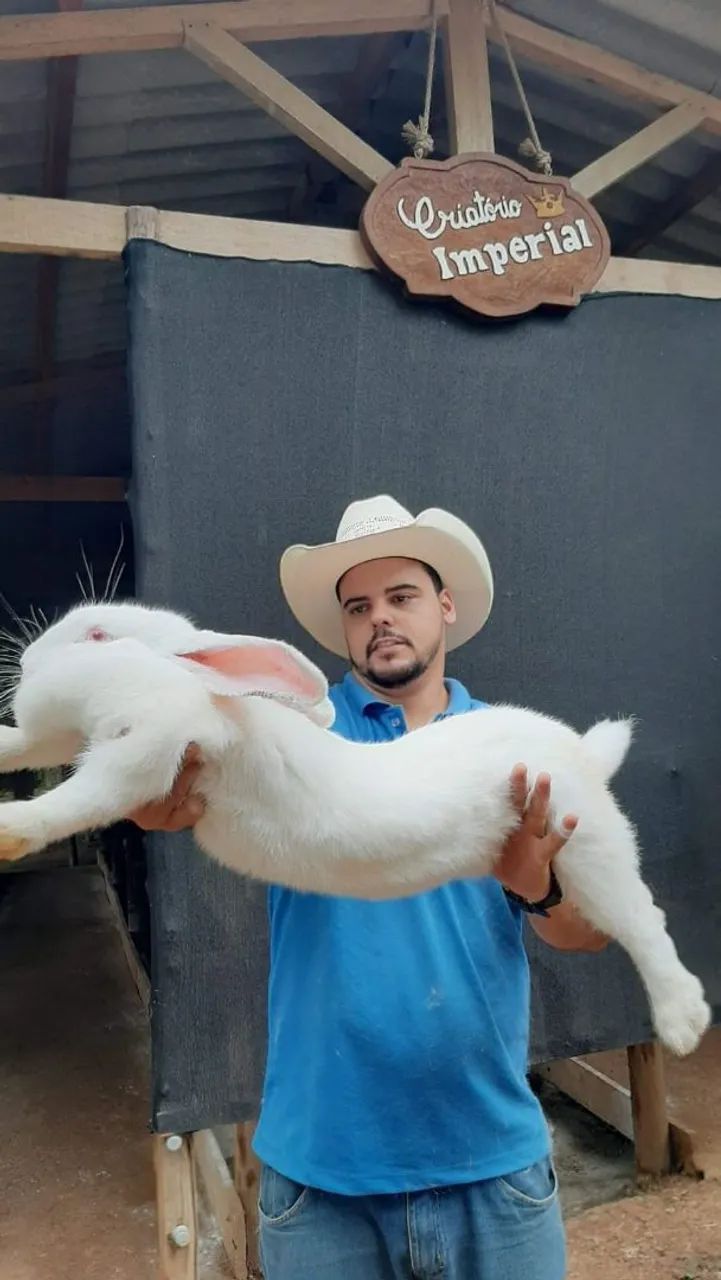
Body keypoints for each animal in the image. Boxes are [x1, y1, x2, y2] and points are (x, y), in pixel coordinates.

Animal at [0, 599, 710, 1057]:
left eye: (96, 636)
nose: (27, 664)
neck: (201, 690)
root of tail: (585, 755)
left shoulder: (150, 748)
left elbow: (81, 798)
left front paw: (11, 828)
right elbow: (27, 747)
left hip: (588, 847)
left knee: (643, 922)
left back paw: (683, 1024)